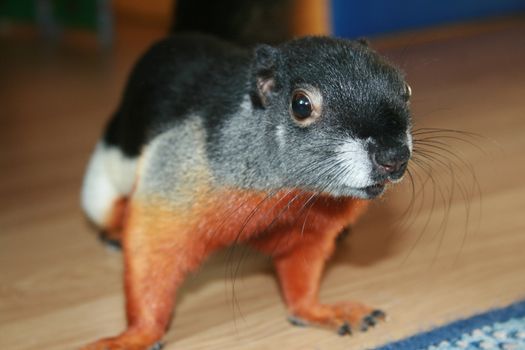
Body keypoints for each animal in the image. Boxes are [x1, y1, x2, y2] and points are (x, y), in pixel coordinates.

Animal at [80, 33, 412, 350]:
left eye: (406, 90)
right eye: (301, 105)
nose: (393, 157)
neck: (293, 191)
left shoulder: (311, 231)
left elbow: (301, 272)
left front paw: (322, 311)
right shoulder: (170, 186)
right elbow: (152, 254)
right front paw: (134, 337)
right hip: (100, 190)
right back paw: (114, 234)